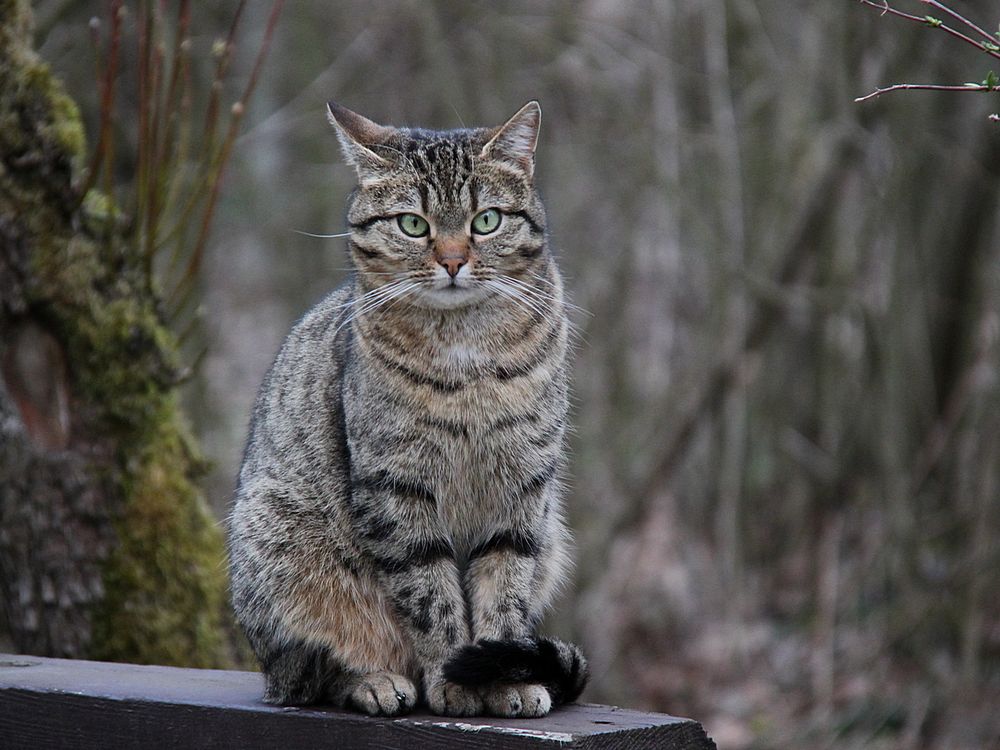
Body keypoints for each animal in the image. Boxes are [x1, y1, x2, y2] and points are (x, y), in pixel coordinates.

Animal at [227, 98, 584, 716]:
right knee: (306, 673)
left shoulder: (523, 489)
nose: (453, 261)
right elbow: (432, 597)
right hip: (276, 547)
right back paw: (374, 681)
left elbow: (504, 595)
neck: (466, 355)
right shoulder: (396, 488)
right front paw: (454, 680)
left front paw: (506, 680)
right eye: (413, 224)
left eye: (486, 220)